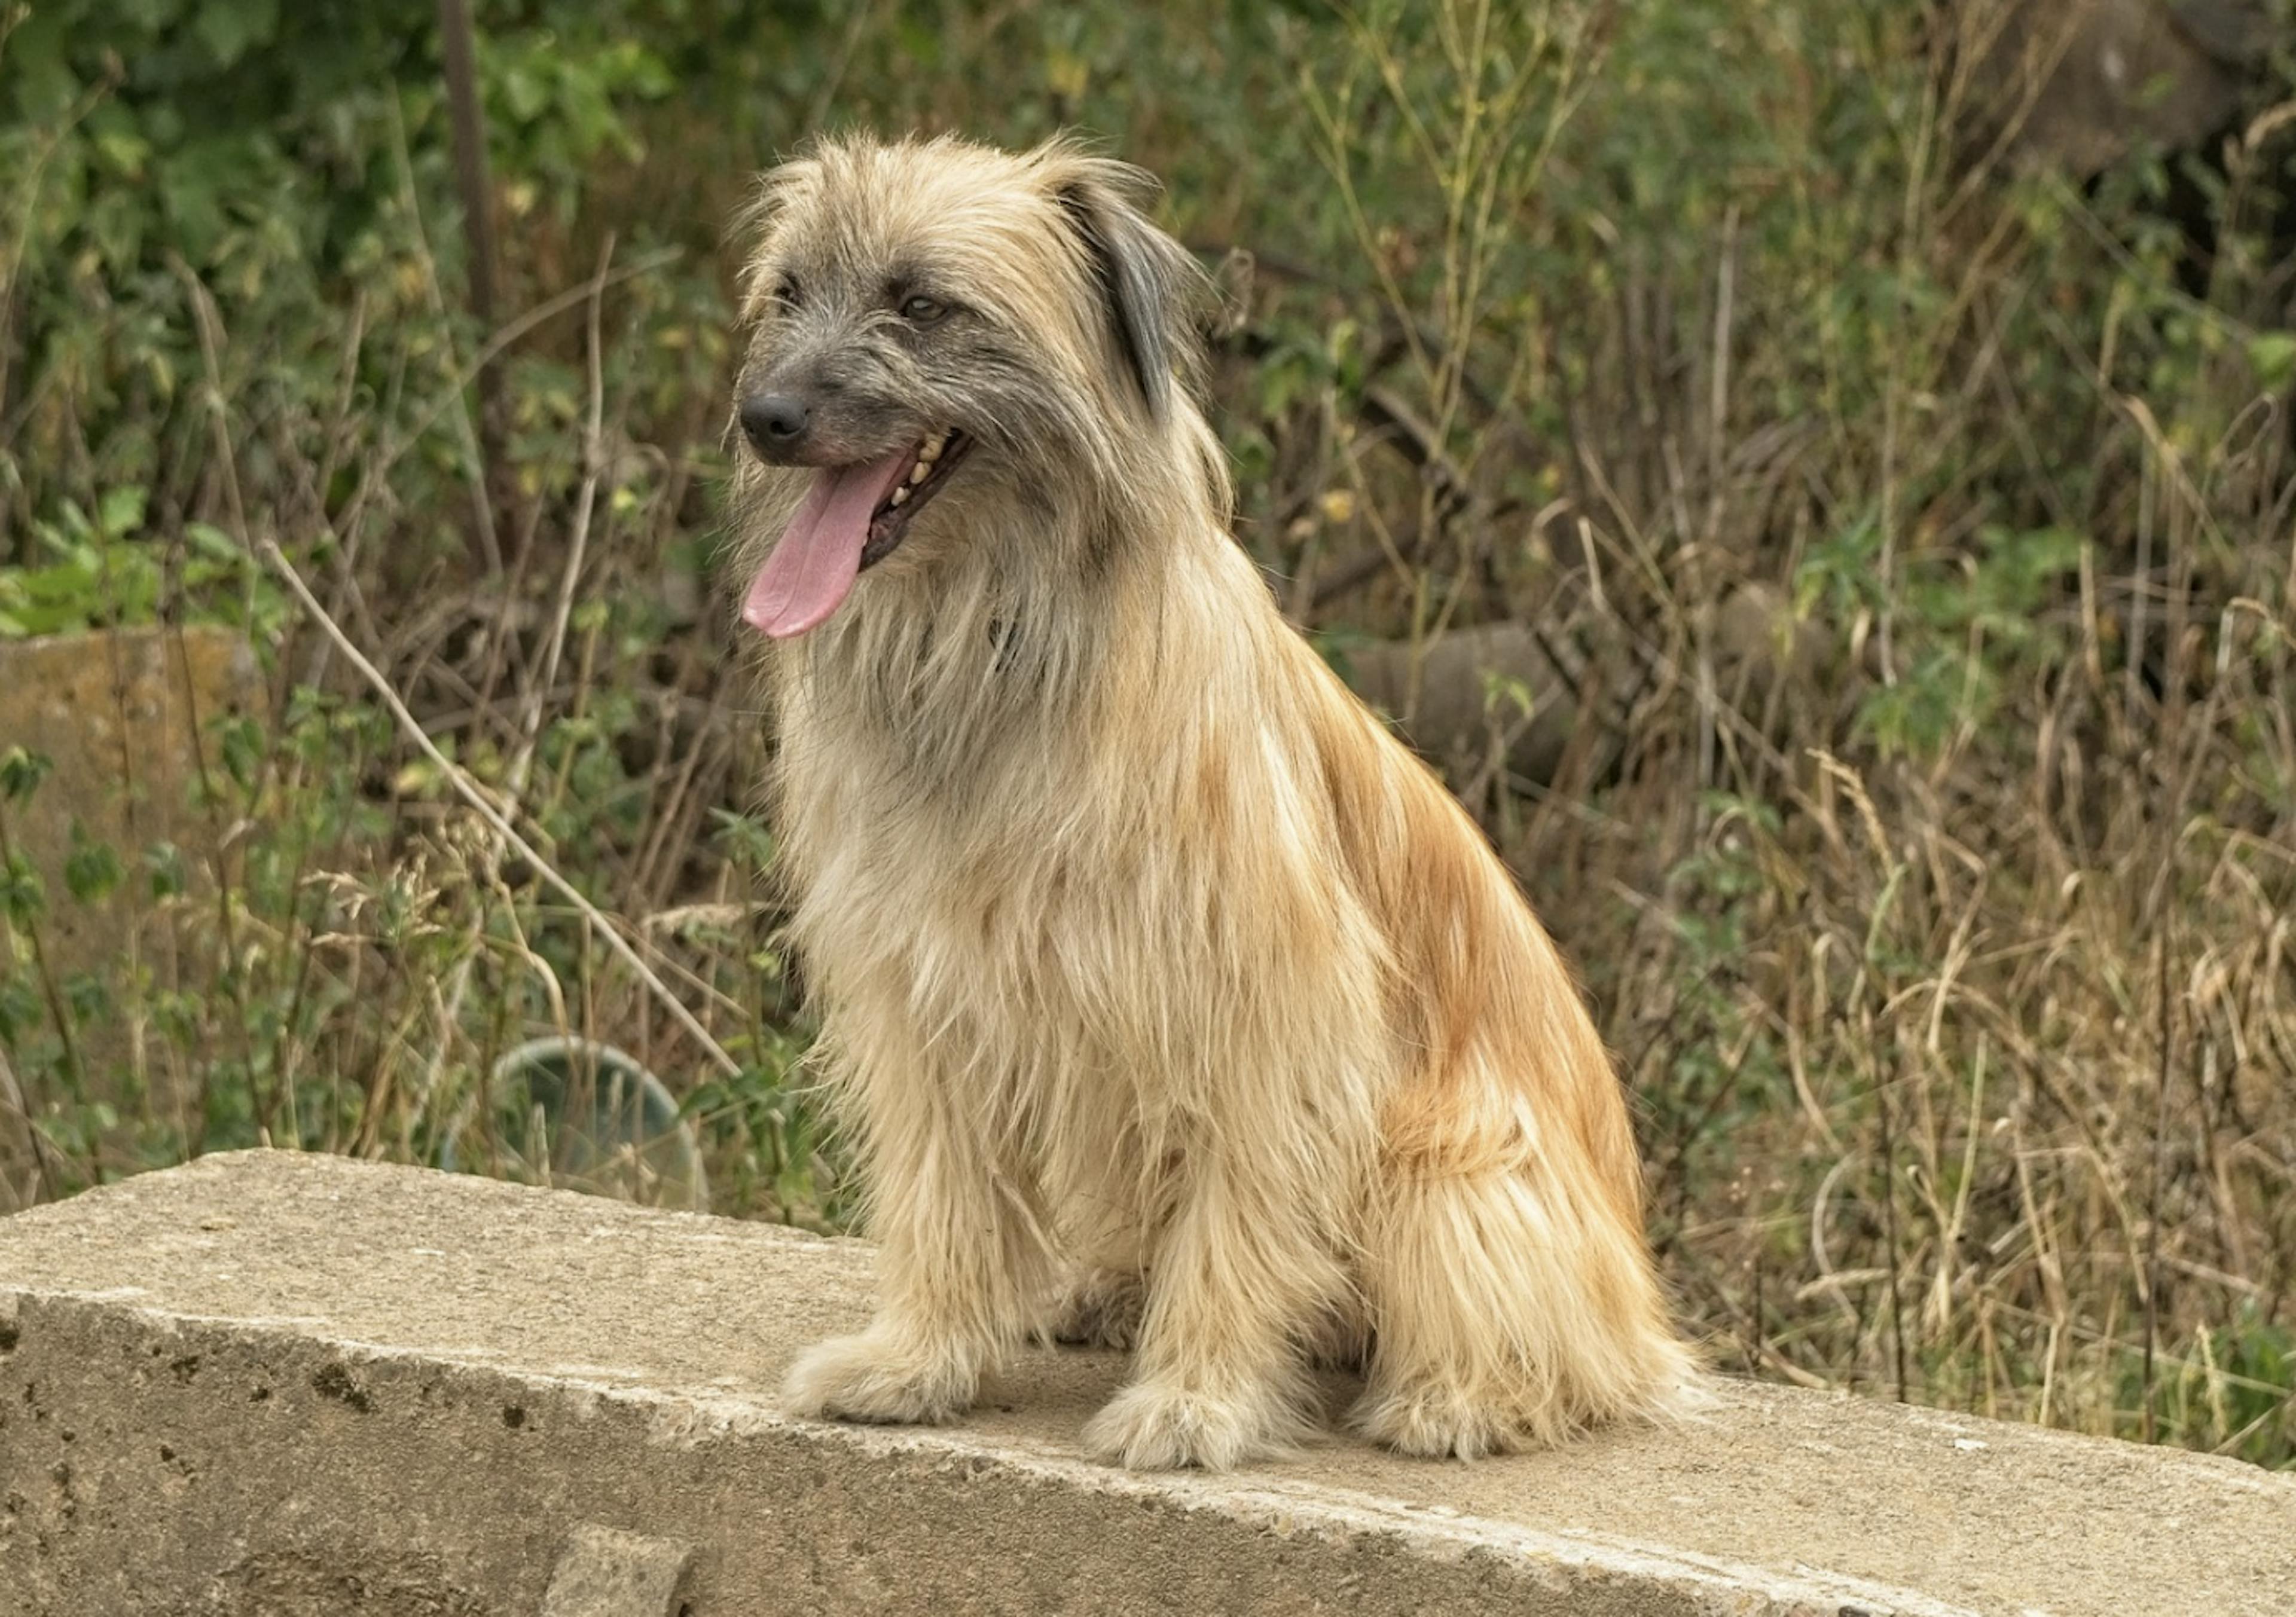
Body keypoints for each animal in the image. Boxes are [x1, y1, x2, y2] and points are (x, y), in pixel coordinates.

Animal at [725, 132, 1699, 1470]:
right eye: (789, 292)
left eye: (921, 305)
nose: (764, 417)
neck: (1000, 639)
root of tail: (1640, 1298)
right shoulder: (926, 992)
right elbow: (944, 1191)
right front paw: (918, 1359)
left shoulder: (1263, 999)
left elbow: (1240, 1211)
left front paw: (1196, 1399)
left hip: (1444, 1167)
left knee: (1552, 1343)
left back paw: (1462, 1396)